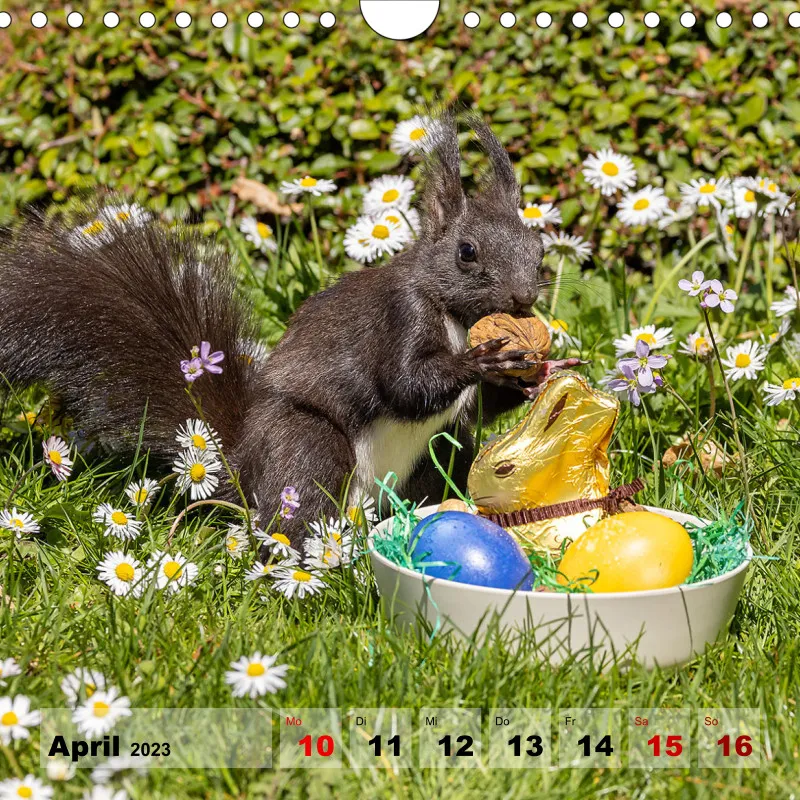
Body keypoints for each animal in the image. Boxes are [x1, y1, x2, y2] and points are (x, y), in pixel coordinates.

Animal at [0, 111, 578, 547]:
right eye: (467, 252)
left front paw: (535, 372)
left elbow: (480, 408)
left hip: (443, 454)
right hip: (307, 443)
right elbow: (405, 385)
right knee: (299, 501)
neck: (457, 318)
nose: (524, 298)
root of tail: (240, 468)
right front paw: (484, 360)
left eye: (538, 249)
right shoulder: (400, 316)